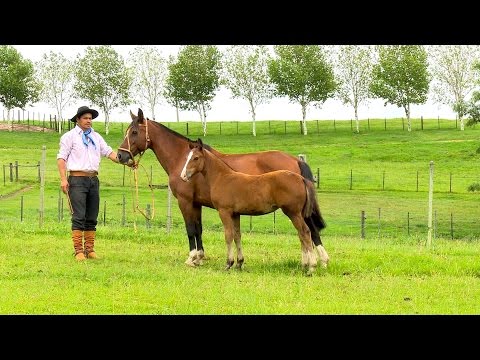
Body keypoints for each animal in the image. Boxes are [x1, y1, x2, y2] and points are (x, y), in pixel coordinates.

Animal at [180, 139, 322, 274]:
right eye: (186, 157)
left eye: (196, 158)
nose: (183, 176)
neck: (223, 177)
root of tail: (301, 179)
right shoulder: (235, 214)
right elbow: (237, 236)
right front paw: (239, 263)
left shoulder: (224, 211)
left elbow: (228, 235)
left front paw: (228, 263)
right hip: (298, 214)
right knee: (302, 234)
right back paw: (304, 266)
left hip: (293, 213)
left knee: (305, 232)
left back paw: (311, 267)